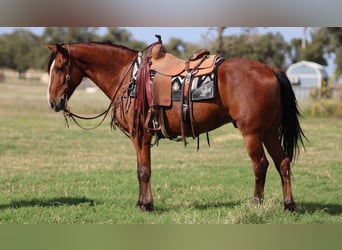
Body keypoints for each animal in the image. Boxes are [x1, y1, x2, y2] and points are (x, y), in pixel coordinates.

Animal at [47, 40, 304, 212]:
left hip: (252, 133)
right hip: (268, 132)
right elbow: (140, 170)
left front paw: (146, 205)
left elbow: (144, 170)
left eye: (59, 68)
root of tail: (272, 70)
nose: (53, 102)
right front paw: (142, 202)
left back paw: (256, 203)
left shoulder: (140, 135)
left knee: (260, 165)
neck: (128, 76)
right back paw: (289, 205)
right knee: (282, 162)